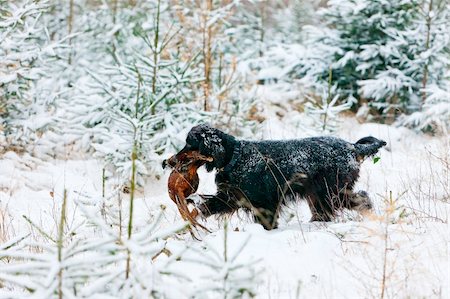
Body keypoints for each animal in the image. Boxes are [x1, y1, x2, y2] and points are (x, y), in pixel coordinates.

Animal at [169, 124, 386, 230]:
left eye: (190, 144)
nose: (170, 161)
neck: (236, 156)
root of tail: (352, 147)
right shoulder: (233, 197)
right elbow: (208, 206)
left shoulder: (263, 203)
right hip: (319, 194)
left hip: (330, 191)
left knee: (361, 199)